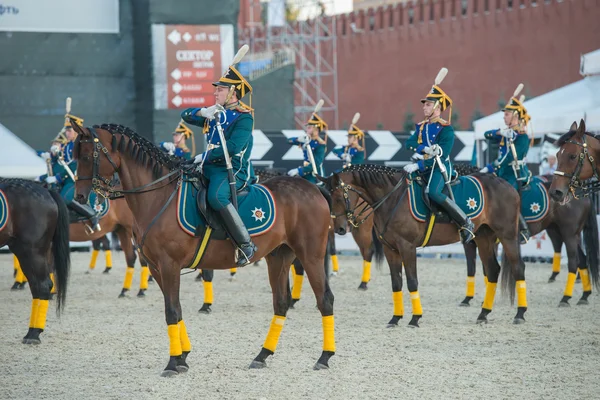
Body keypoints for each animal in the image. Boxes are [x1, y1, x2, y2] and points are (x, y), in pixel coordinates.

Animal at [72, 122, 336, 376]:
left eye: (85, 156)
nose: (80, 198)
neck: (158, 196)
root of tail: (313, 188)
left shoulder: (169, 265)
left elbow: (172, 310)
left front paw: (172, 363)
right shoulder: (157, 268)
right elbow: (175, 310)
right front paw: (182, 357)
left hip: (310, 255)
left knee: (325, 299)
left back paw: (324, 358)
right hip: (278, 257)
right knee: (281, 302)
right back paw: (262, 355)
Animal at [322, 164, 528, 326]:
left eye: (339, 197)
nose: (339, 228)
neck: (392, 198)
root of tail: (506, 184)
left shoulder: (407, 247)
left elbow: (412, 281)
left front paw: (415, 318)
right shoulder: (390, 249)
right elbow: (396, 283)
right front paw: (395, 318)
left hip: (507, 236)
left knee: (518, 267)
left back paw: (519, 313)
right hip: (484, 238)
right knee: (492, 270)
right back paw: (483, 313)